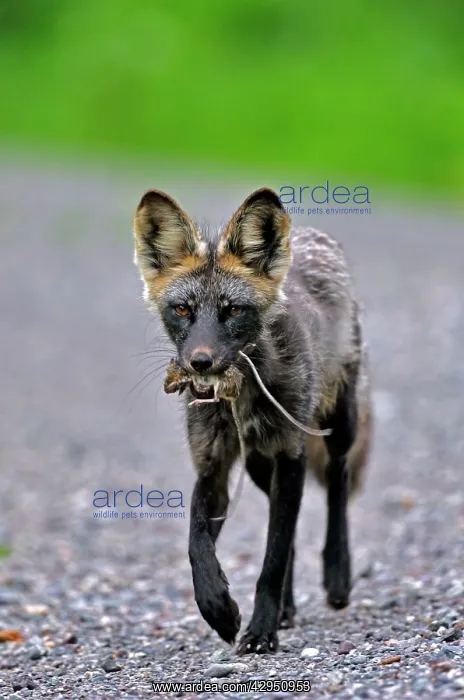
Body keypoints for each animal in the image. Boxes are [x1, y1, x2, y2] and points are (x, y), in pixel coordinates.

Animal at [133, 187, 372, 655]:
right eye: (182, 310)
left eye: (233, 311)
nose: (200, 362)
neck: (238, 401)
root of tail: (313, 236)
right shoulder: (214, 466)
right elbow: (198, 545)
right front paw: (220, 610)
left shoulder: (292, 455)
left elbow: (272, 560)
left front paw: (261, 632)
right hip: (260, 466)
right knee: (291, 532)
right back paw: (288, 608)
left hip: (337, 423)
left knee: (338, 478)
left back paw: (337, 575)